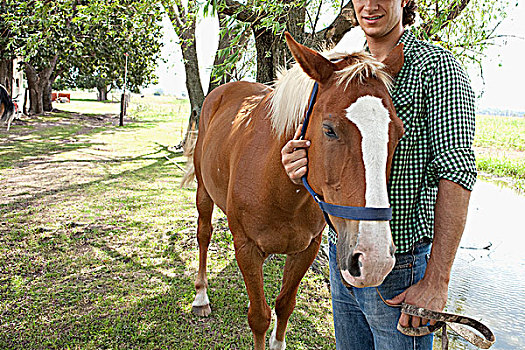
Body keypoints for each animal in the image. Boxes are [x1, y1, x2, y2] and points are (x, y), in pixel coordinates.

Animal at [186, 31, 404, 348]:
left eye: (399, 132)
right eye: (329, 129)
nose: (374, 260)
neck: (280, 190)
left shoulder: (306, 250)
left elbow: (285, 304)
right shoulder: (246, 247)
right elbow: (259, 317)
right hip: (204, 191)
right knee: (204, 235)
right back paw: (201, 297)